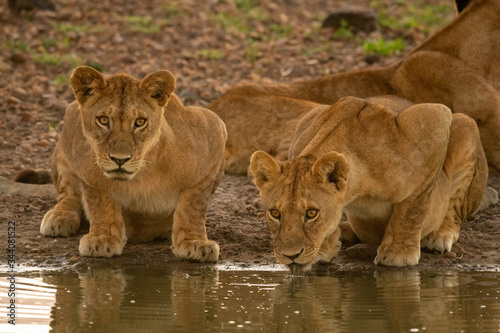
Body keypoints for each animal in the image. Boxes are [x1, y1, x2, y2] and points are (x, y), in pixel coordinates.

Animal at [39, 66, 227, 260]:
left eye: (140, 122)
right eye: (103, 120)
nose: (120, 159)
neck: (142, 174)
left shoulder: (214, 132)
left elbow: (194, 204)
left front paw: (195, 242)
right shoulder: (88, 172)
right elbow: (100, 203)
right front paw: (103, 238)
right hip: (66, 139)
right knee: (67, 192)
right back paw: (60, 217)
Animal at [252, 96, 486, 272]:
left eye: (311, 213)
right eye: (275, 213)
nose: (290, 256)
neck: (357, 190)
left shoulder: (434, 119)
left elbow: (413, 207)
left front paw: (398, 253)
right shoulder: (304, 123)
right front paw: (326, 245)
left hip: (465, 124)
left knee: (455, 208)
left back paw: (440, 236)